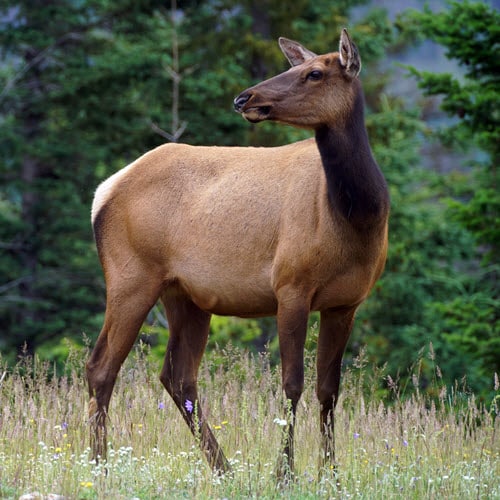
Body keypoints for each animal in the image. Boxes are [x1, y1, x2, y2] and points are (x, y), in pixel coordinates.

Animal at [87, 30, 390, 476]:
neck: (357, 219)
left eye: (315, 72)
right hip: (131, 276)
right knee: (101, 367)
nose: (245, 98)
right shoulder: (290, 286)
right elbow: (292, 384)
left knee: (177, 376)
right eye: (297, 66)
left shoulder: (346, 302)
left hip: (185, 295)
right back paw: (99, 466)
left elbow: (329, 390)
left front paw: (331, 475)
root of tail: (102, 192)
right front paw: (284, 474)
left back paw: (224, 468)